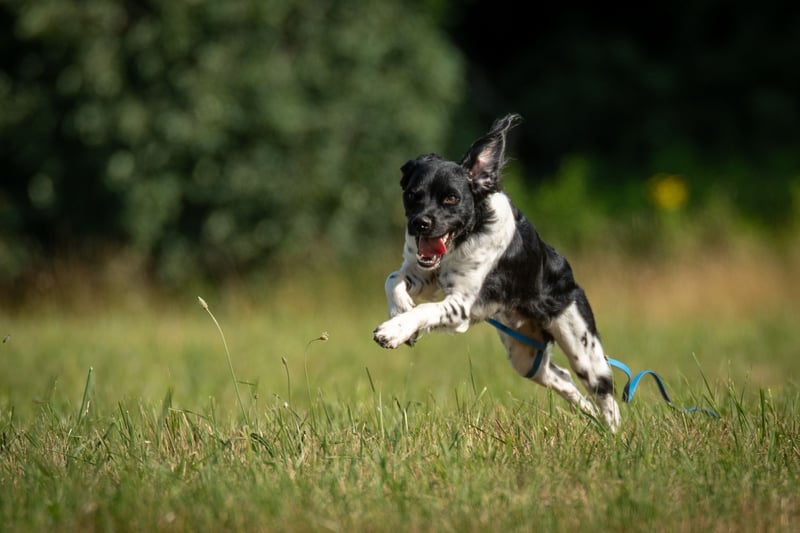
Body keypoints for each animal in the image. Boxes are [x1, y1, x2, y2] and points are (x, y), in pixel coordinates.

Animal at [373, 114, 621, 432]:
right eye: (412, 195)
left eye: (451, 198)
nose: (420, 223)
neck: (466, 235)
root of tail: (571, 281)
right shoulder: (424, 273)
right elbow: (393, 279)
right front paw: (400, 312)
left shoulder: (460, 306)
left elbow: (425, 310)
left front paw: (393, 330)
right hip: (524, 357)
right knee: (562, 377)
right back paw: (590, 417)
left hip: (583, 350)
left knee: (606, 396)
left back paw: (613, 434)